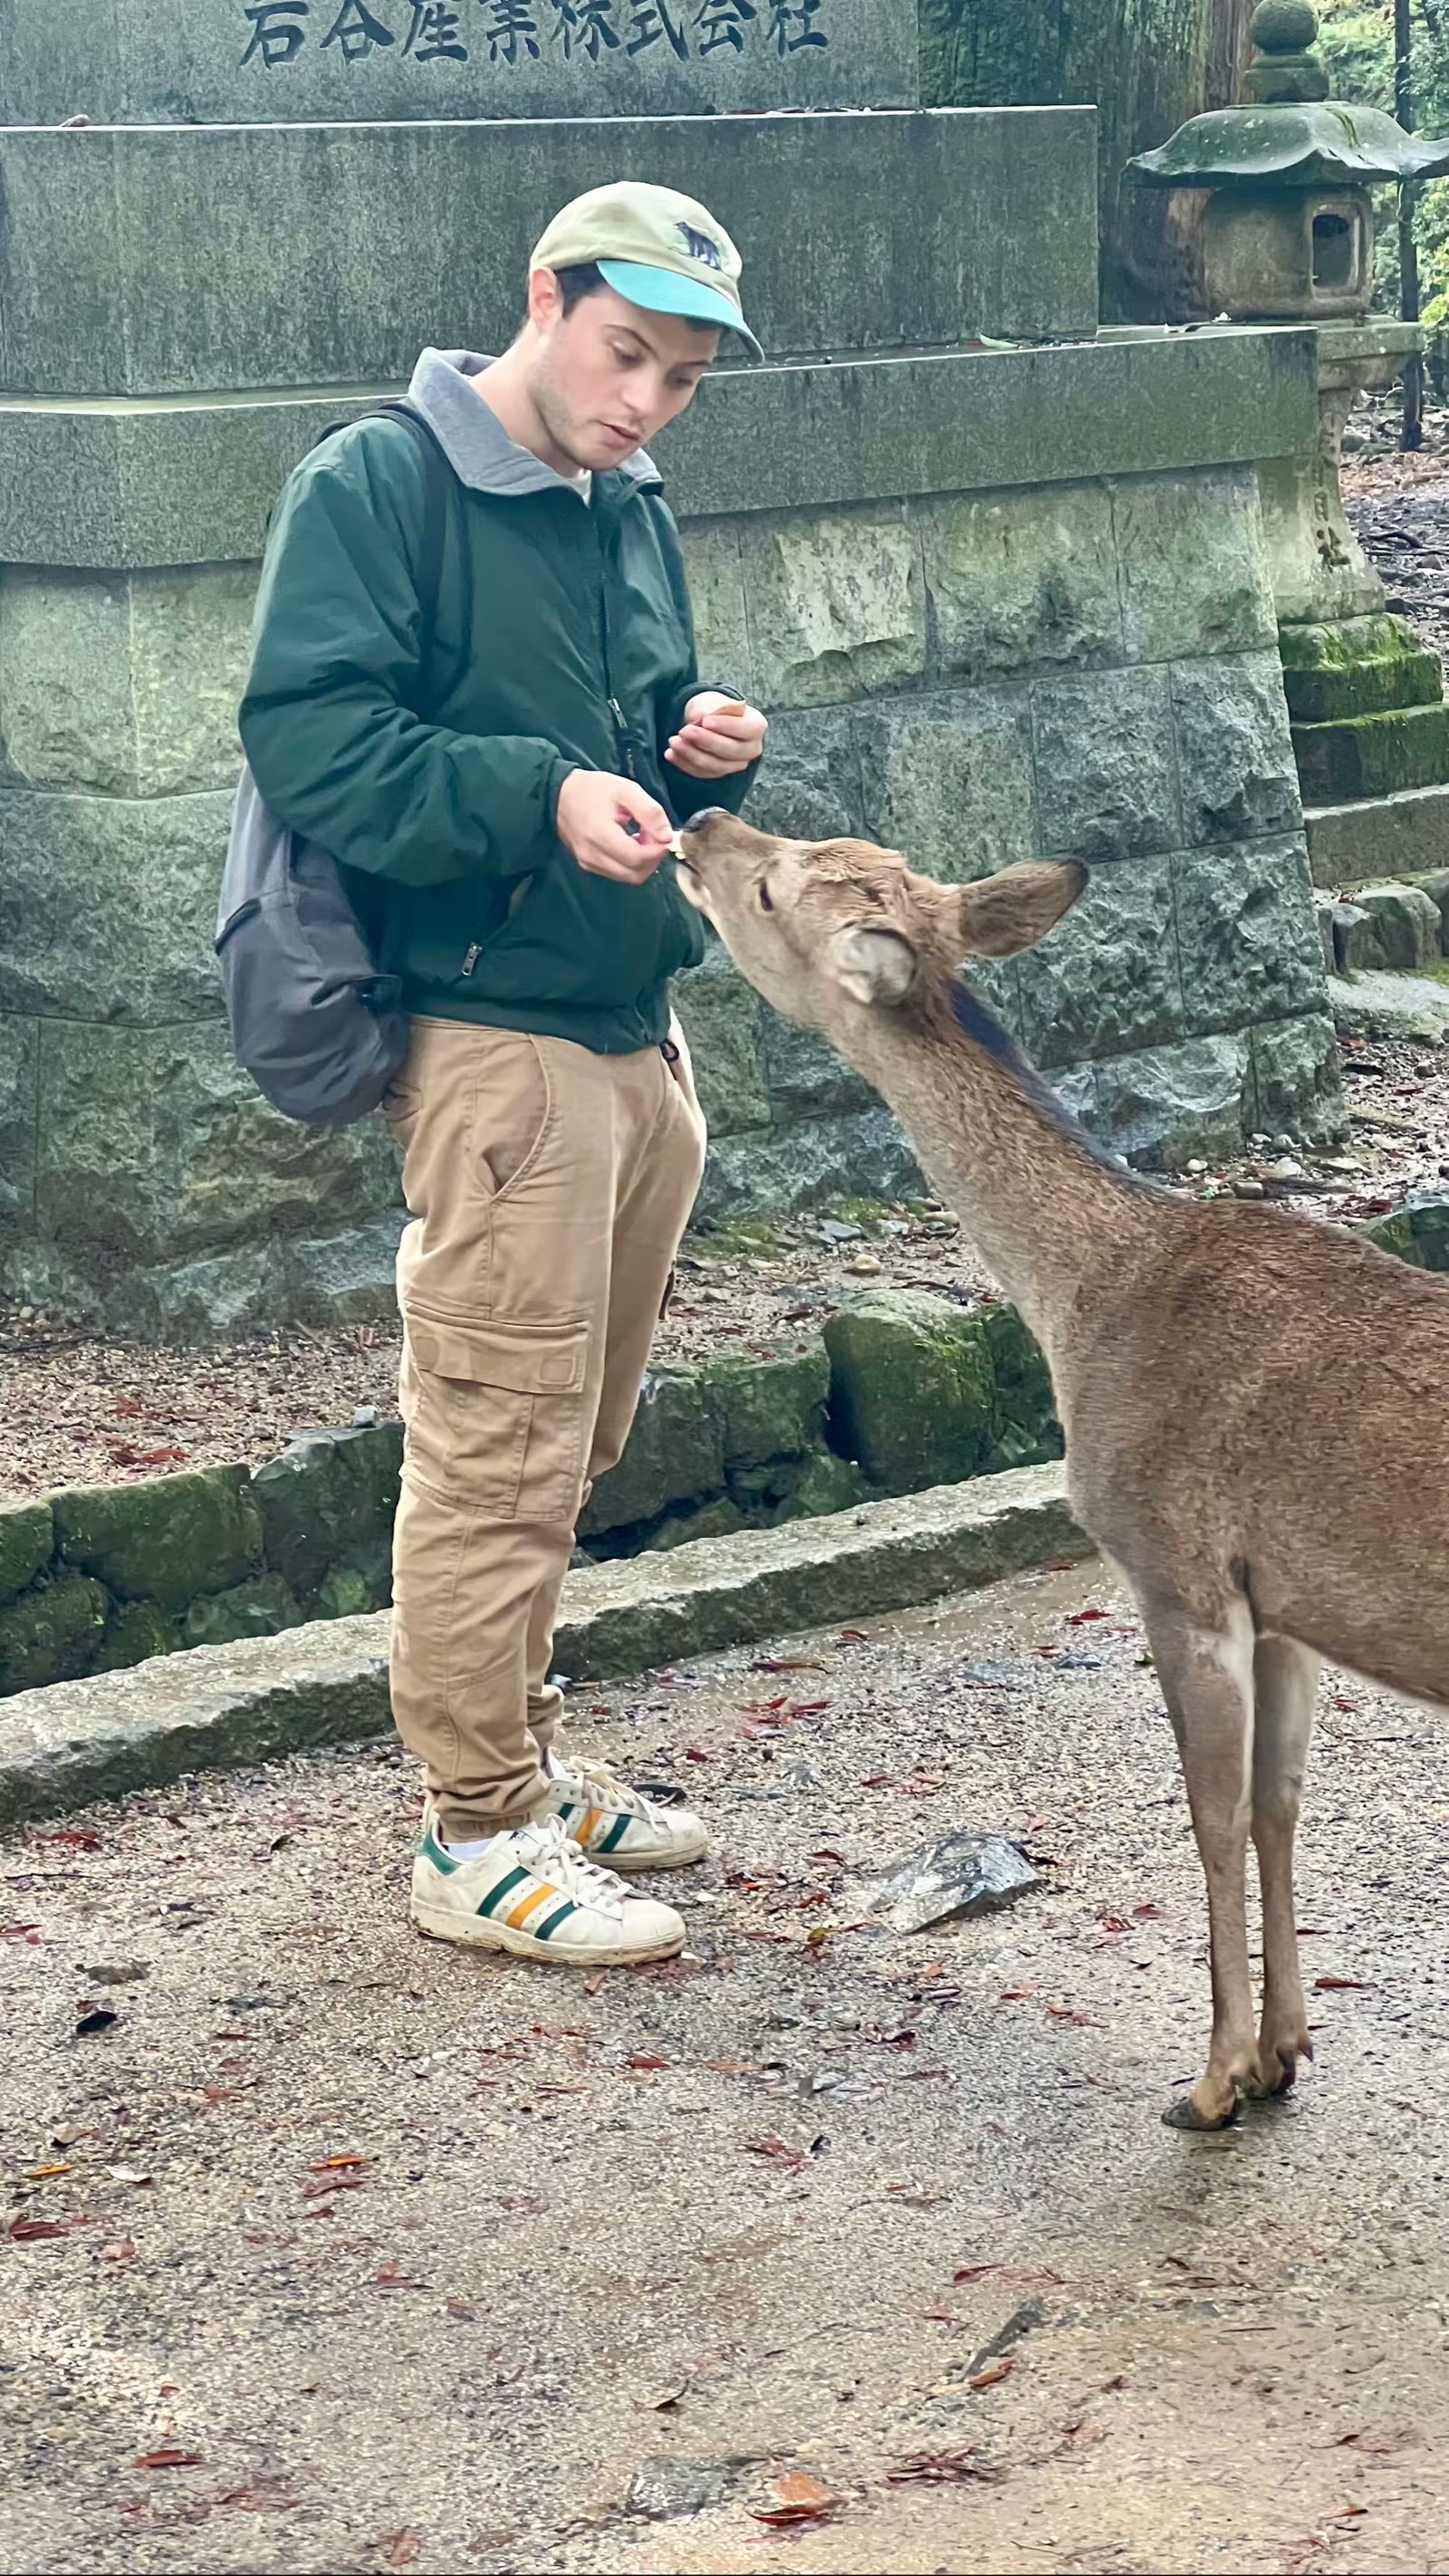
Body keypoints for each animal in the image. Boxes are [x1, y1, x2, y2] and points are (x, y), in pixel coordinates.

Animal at [673, 807, 1449, 2132]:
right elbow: (1280, 1806)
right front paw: (1287, 2051)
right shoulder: (1285, 1606)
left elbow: (1209, 1817)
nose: (700, 819)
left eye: (774, 888)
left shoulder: (1174, 1566)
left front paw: (1210, 2082)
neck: (1083, 1303)